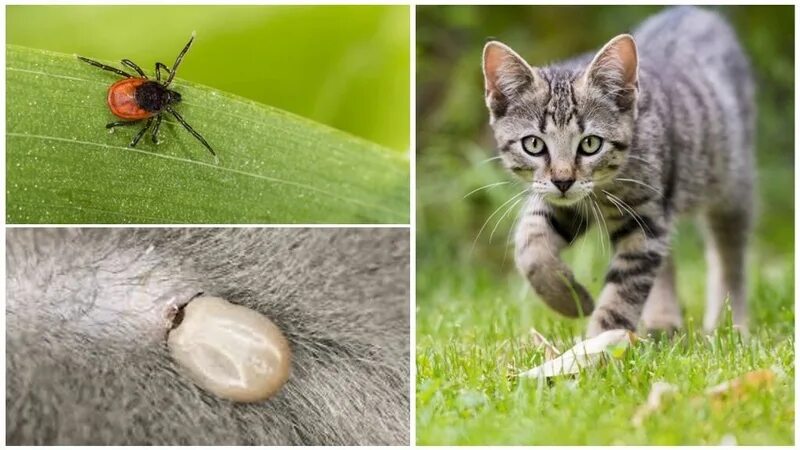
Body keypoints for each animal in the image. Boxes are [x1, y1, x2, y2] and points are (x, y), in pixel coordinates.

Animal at [482, 6, 756, 338]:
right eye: (534, 144)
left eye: (590, 144)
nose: (563, 180)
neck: (603, 190)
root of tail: (691, 9)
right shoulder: (565, 204)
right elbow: (530, 243)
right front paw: (569, 298)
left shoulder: (645, 220)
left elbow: (623, 292)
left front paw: (602, 344)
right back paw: (663, 320)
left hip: (731, 182)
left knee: (730, 256)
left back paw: (730, 326)